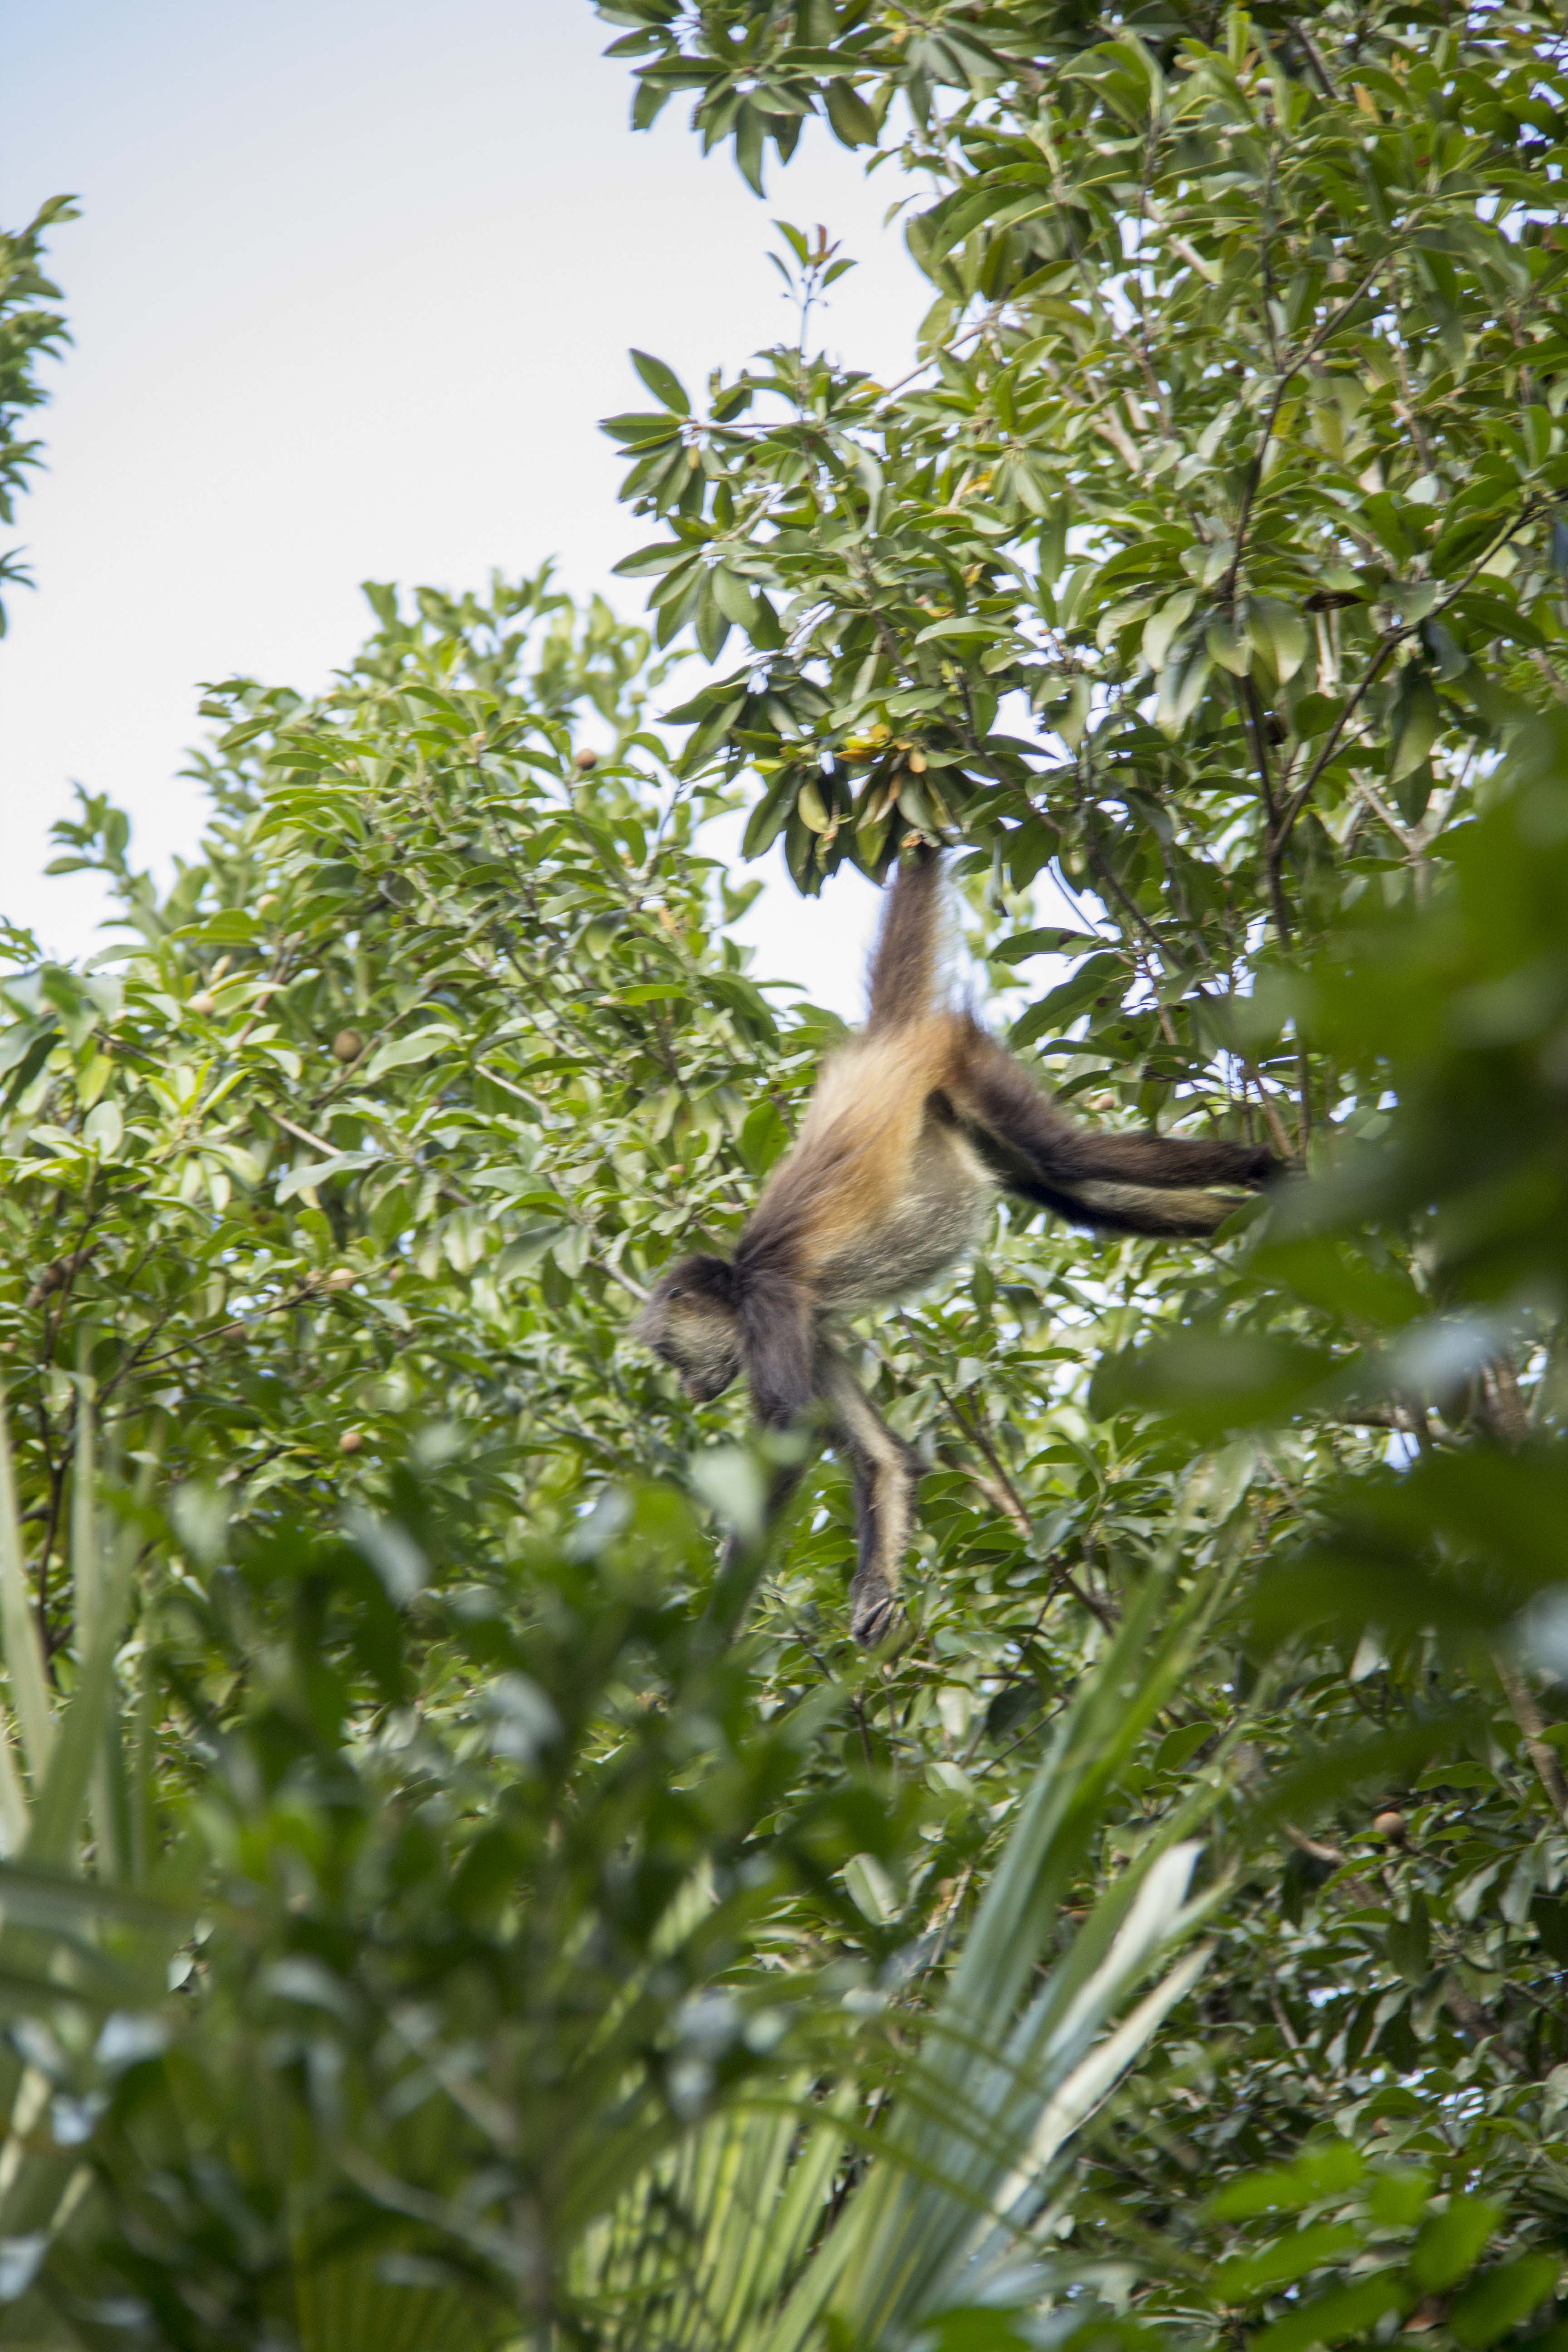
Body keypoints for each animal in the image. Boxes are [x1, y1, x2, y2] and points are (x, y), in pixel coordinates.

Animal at [639, 856, 1288, 1646]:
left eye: (669, 1354)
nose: (686, 1390)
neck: (739, 1280)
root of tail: (884, 1044)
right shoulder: (811, 1327)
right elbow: (884, 1460)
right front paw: (875, 1594)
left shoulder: (771, 1307)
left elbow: (790, 1428)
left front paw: (709, 1642)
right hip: (957, 1116)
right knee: (1070, 1191)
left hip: (970, 1063)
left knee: (1068, 1157)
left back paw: (1267, 1169)